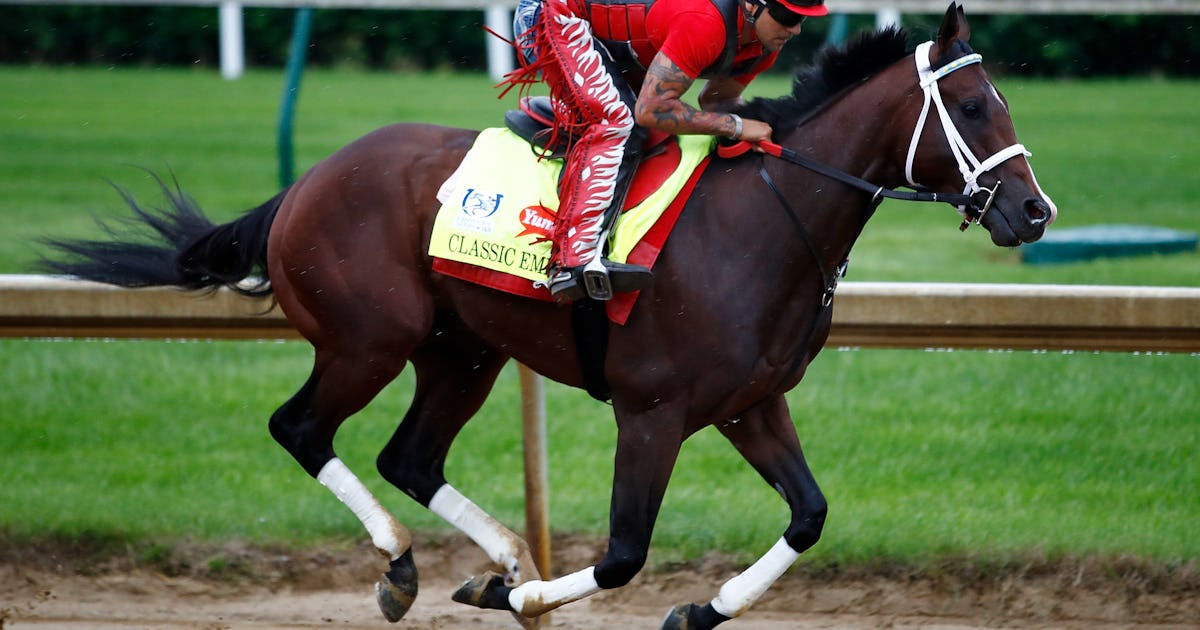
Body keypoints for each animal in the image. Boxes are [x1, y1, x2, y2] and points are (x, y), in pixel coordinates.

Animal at [40, 4, 1056, 629]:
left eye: (1001, 100)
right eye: (973, 104)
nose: (1034, 212)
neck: (766, 220)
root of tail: (304, 183)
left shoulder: (749, 404)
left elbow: (808, 516)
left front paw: (694, 607)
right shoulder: (652, 414)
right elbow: (623, 554)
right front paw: (529, 603)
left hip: (462, 352)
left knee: (409, 456)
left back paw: (495, 557)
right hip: (369, 339)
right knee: (301, 428)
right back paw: (403, 563)